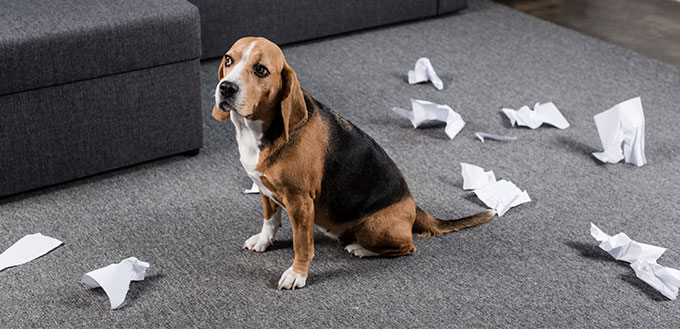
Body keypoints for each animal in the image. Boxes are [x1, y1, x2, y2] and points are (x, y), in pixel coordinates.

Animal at [212, 36, 494, 290]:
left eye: (261, 70)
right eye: (228, 59)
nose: (226, 88)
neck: (257, 131)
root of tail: (413, 206)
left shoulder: (300, 202)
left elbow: (301, 245)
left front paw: (297, 274)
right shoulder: (265, 189)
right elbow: (270, 220)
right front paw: (264, 240)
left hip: (373, 228)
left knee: (408, 247)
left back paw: (361, 248)